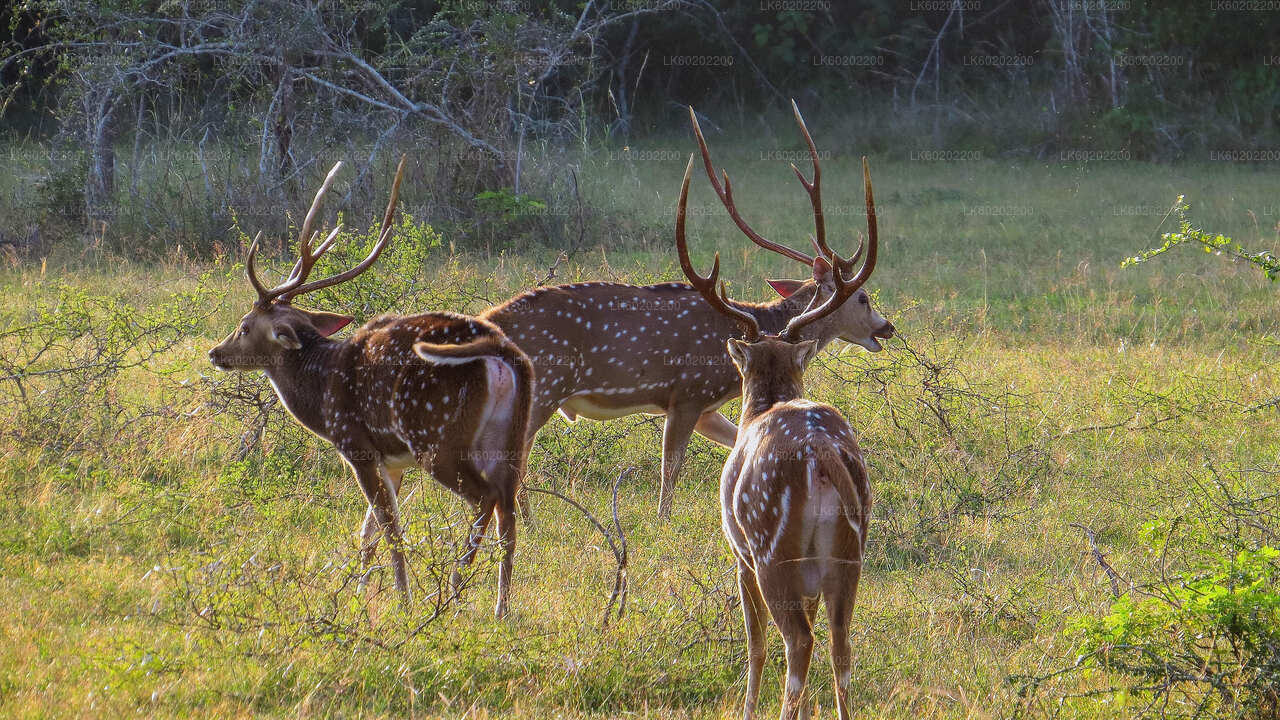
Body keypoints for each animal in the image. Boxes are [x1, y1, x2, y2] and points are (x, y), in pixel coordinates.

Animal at [207, 158, 532, 617]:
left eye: (245, 326)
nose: (216, 353)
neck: (321, 391)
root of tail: (502, 353)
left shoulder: (357, 445)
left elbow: (389, 526)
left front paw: (400, 599)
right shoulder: (392, 460)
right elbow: (369, 532)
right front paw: (360, 592)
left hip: (437, 436)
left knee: (485, 499)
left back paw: (451, 591)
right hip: (510, 437)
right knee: (509, 508)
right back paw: (500, 609)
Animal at [483, 99, 896, 515]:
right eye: (863, 297)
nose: (887, 327)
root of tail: (489, 320)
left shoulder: (707, 408)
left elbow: (736, 442)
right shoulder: (687, 393)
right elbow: (671, 472)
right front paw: (662, 522)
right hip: (543, 388)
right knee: (511, 460)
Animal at [675, 147, 875, 717]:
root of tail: (821, 458)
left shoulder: (737, 551)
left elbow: (754, 645)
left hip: (771, 550)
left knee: (796, 643)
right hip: (848, 555)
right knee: (841, 644)